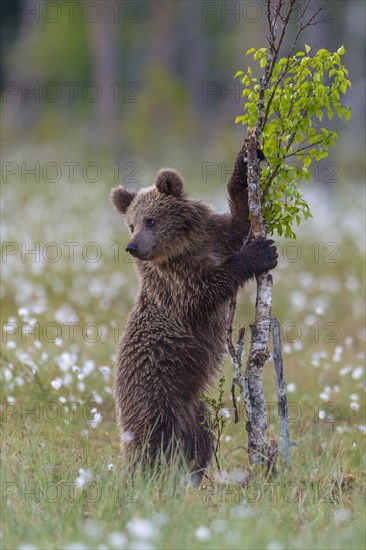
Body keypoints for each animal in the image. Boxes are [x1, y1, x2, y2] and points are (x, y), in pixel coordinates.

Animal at [111, 143, 278, 488]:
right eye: (132, 223)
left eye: (150, 220)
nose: (133, 246)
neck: (183, 248)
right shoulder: (176, 285)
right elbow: (206, 291)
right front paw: (261, 252)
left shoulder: (213, 236)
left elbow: (239, 220)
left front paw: (246, 158)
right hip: (154, 395)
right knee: (156, 444)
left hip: (193, 406)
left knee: (199, 440)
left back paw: (193, 476)